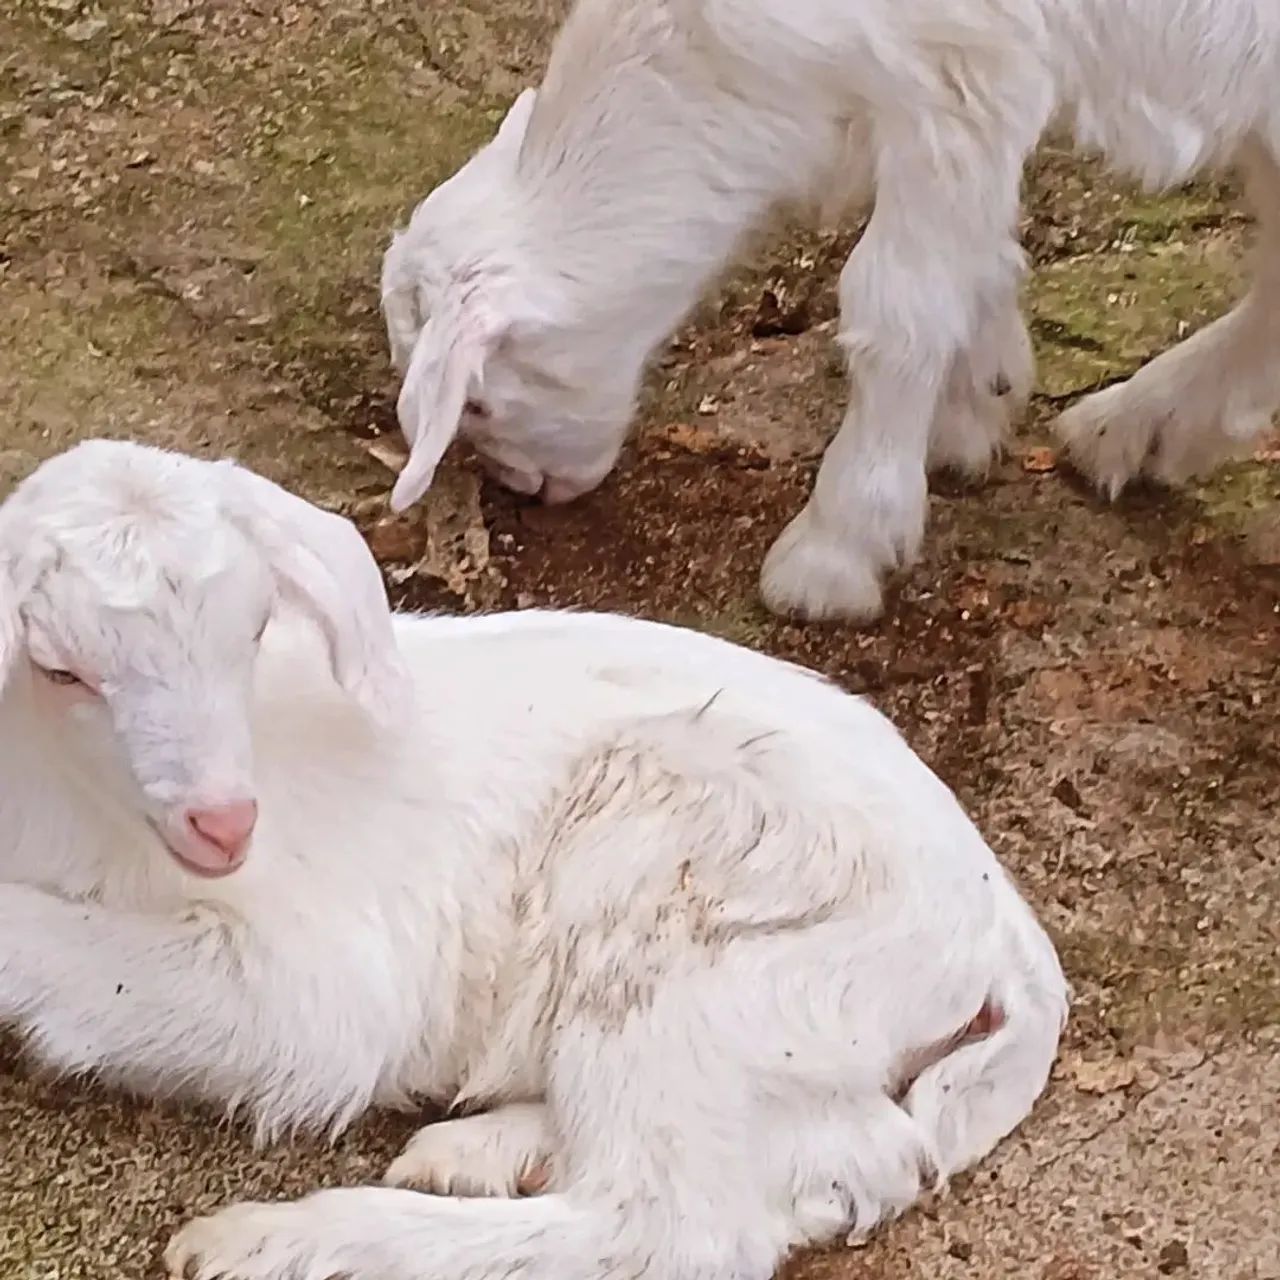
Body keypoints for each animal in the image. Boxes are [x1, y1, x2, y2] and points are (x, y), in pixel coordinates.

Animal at [0, 440, 1067, 1280]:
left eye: (255, 630)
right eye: (61, 668)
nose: (224, 823)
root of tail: (1002, 928)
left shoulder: (314, 981)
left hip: (699, 919)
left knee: (671, 1226)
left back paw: (286, 1242)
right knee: (854, 1153)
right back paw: (488, 1148)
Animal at [380, 0, 1280, 622]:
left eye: (479, 402)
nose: (529, 487)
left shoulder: (960, 69)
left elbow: (895, 303)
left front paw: (836, 551)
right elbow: (971, 253)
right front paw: (974, 405)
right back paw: (1137, 427)